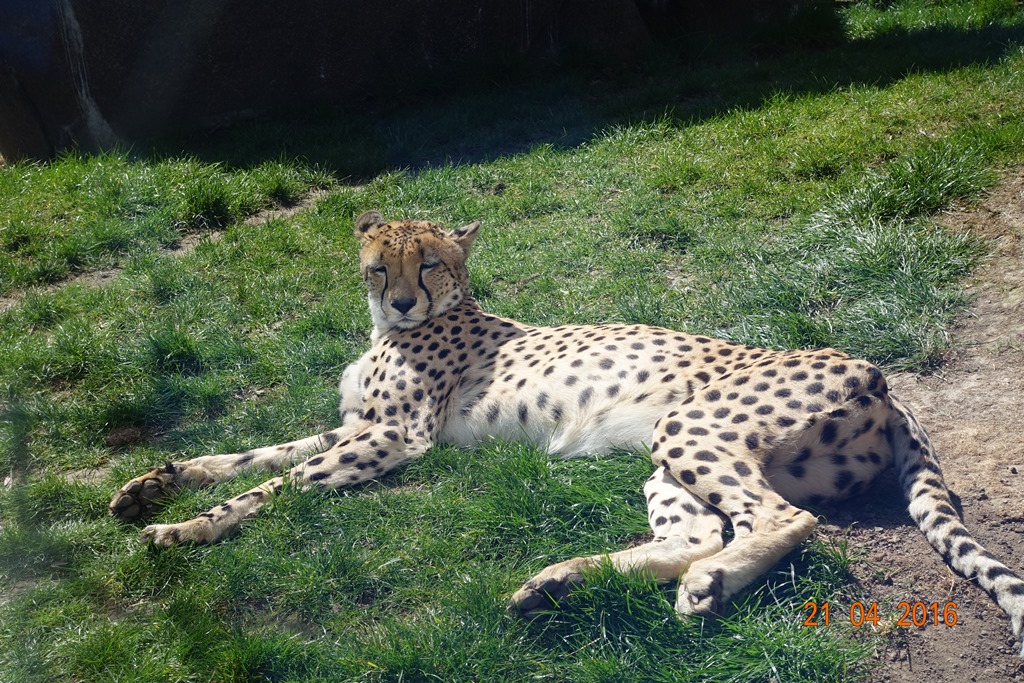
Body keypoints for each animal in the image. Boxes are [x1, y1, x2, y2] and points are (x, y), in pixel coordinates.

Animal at [110, 210, 1024, 651]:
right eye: (379, 264)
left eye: (428, 263)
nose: (401, 300)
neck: (397, 327)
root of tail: (877, 373)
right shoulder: (354, 424)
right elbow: (250, 453)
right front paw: (148, 486)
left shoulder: (396, 438)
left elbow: (280, 483)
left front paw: (183, 530)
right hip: (671, 456)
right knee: (704, 531)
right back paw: (563, 582)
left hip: (689, 425)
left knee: (780, 518)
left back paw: (699, 586)